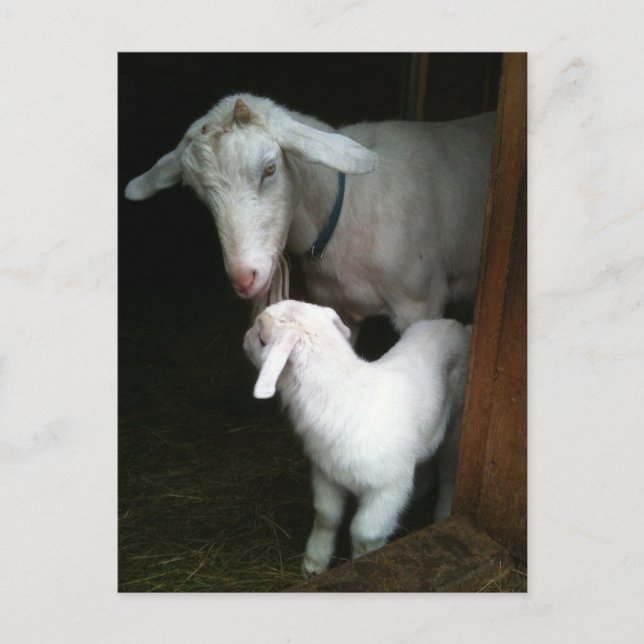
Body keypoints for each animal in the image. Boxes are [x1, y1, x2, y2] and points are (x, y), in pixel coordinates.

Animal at [243, 299, 471, 576]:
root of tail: (456, 326)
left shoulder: (386, 488)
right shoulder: (326, 473)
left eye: (262, 338)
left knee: (449, 471)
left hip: (456, 420)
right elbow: (326, 516)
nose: (244, 339)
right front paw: (314, 564)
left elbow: (364, 534)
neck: (347, 398)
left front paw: (362, 566)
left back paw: (443, 515)